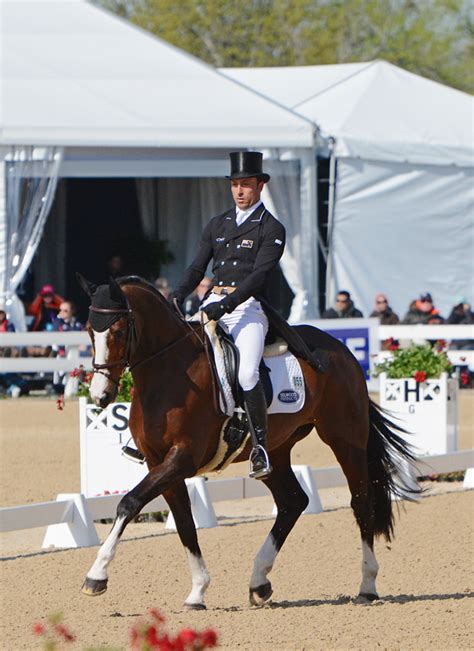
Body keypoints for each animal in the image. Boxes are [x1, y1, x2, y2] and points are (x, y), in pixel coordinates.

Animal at [78, 276, 418, 612]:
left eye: (118, 330)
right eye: (89, 330)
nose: (101, 396)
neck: (169, 371)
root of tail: (341, 350)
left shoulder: (182, 458)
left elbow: (129, 502)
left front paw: (96, 576)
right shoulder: (158, 461)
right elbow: (184, 523)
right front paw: (197, 592)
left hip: (345, 439)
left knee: (361, 501)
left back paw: (367, 586)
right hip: (276, 451)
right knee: (293, 501)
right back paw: (259, 582)